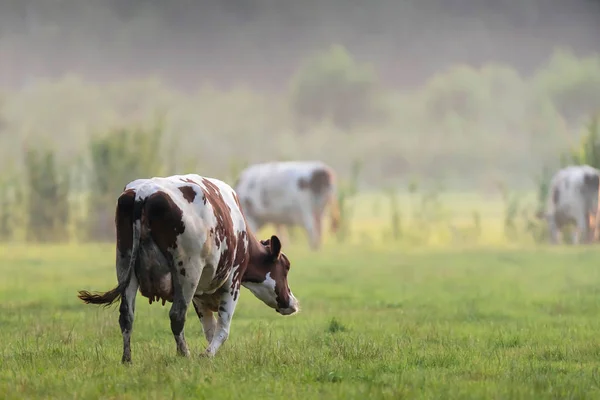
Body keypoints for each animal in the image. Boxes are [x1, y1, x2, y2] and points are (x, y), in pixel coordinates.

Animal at [77, 173, 298, 362]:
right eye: (286, 267)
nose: (293, 302)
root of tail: (143, 193)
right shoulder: (233, 279)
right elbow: (222, 328)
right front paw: (207, 355)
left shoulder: (201, 293)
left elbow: (210, 328)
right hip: (187, 270)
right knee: (177, 315)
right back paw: (185, 355)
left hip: (125, 263)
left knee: (126, 316)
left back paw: (127, 360)